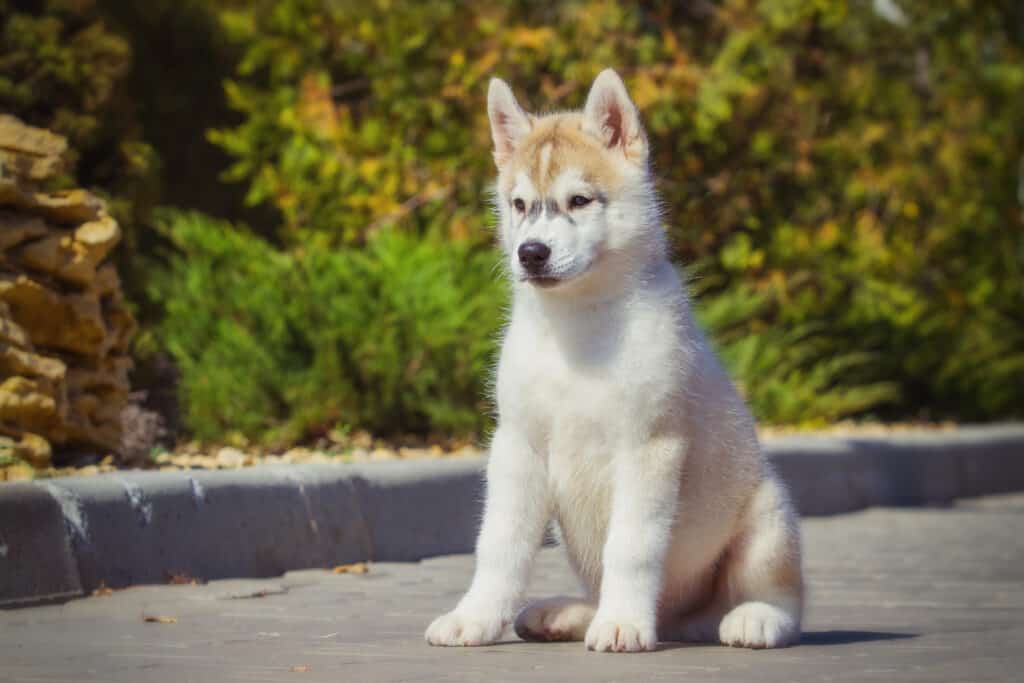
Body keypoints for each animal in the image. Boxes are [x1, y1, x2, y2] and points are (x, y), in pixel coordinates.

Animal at [423, 69, 798, 651]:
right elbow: (499, 545)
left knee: (782, 599)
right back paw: (567, 614)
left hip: (768, 516)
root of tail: (679, 619)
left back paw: (751, 618)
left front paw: (623, 623)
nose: (531, 253)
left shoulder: (649, 446)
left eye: (579, 200)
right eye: (520, 205)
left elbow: (631, 547)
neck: (576, 327)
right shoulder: (518, 446)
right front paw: (475, 616)